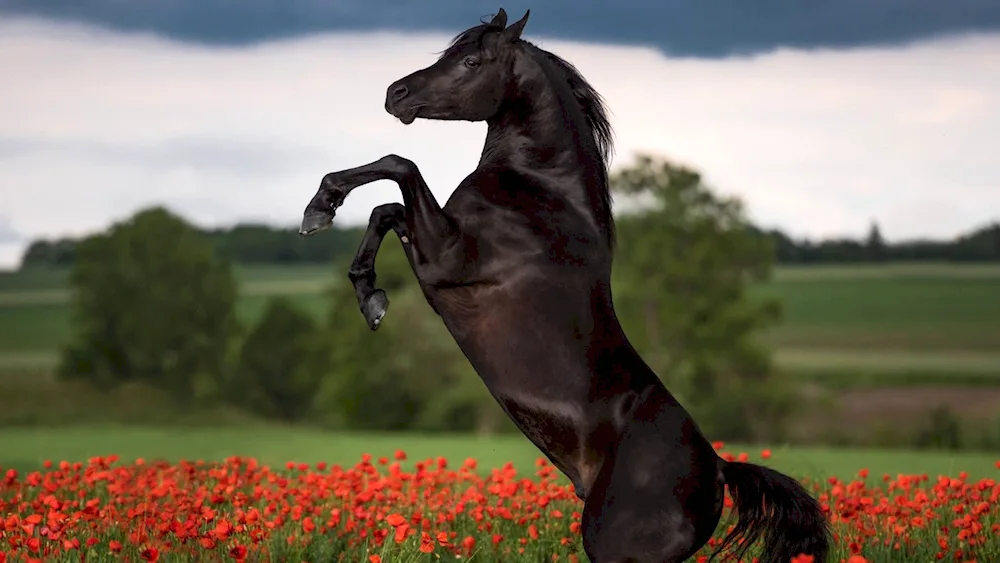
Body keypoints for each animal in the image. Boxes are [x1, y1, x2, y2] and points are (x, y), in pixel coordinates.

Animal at [300, 8, 832, 563]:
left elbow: (399, 167)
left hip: (615, 547)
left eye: (470, 61)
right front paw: (367, 292)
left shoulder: (445, 258)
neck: (541, 192)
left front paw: (322, 208)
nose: (395, 93)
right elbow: (387, 209)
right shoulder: (431, 242)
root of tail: (720, 472)